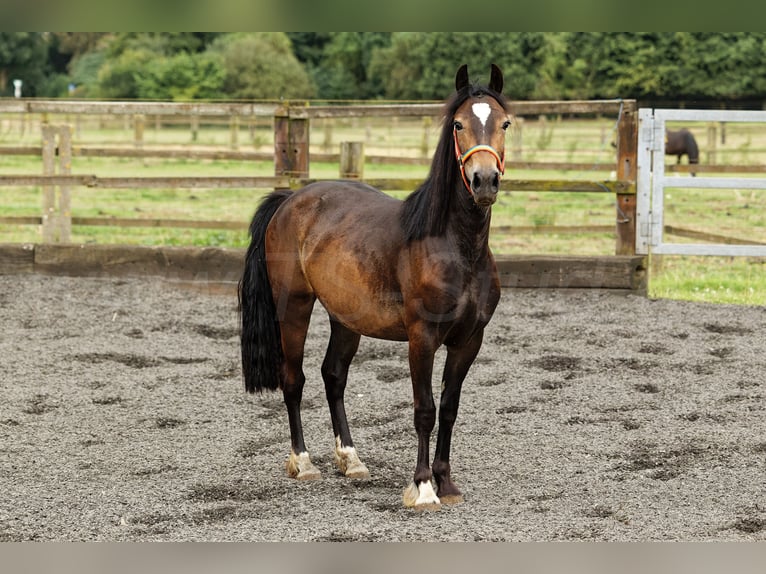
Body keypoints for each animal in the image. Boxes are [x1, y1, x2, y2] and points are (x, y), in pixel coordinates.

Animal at [238, 65, 510, 510]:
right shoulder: (422, 338)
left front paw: (447, 483)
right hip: (293, 307)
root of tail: (290, 199)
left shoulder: (469, 340)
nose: (484, 180)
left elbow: (449, 409)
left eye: (505, 123)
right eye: (457, 124)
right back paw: (304, 462)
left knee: (333, 376)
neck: (454, 246)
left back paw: (350, 459)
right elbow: (424, 409)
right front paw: (423, 486)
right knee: (293, 379)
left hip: (345, 317)